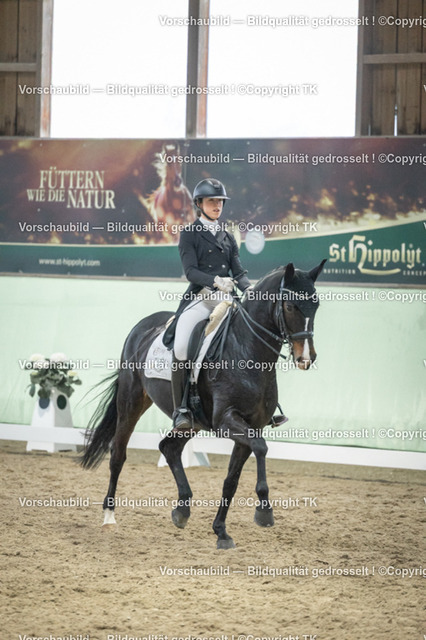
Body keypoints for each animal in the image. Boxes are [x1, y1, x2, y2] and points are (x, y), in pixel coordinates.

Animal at [81, 259, 326, 549]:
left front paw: (221, 532)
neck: (246, 351)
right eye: (289, 306)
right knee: (118, 454)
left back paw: (182, 509)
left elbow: (231, 480)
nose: (306, 358)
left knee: (169, 448)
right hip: (131, 403)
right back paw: (109, 517)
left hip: (192, 423)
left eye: (316, 304)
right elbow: (261, 448)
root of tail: (142, 327)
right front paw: (264, 511)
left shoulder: (250, 426)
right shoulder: (227, 421)